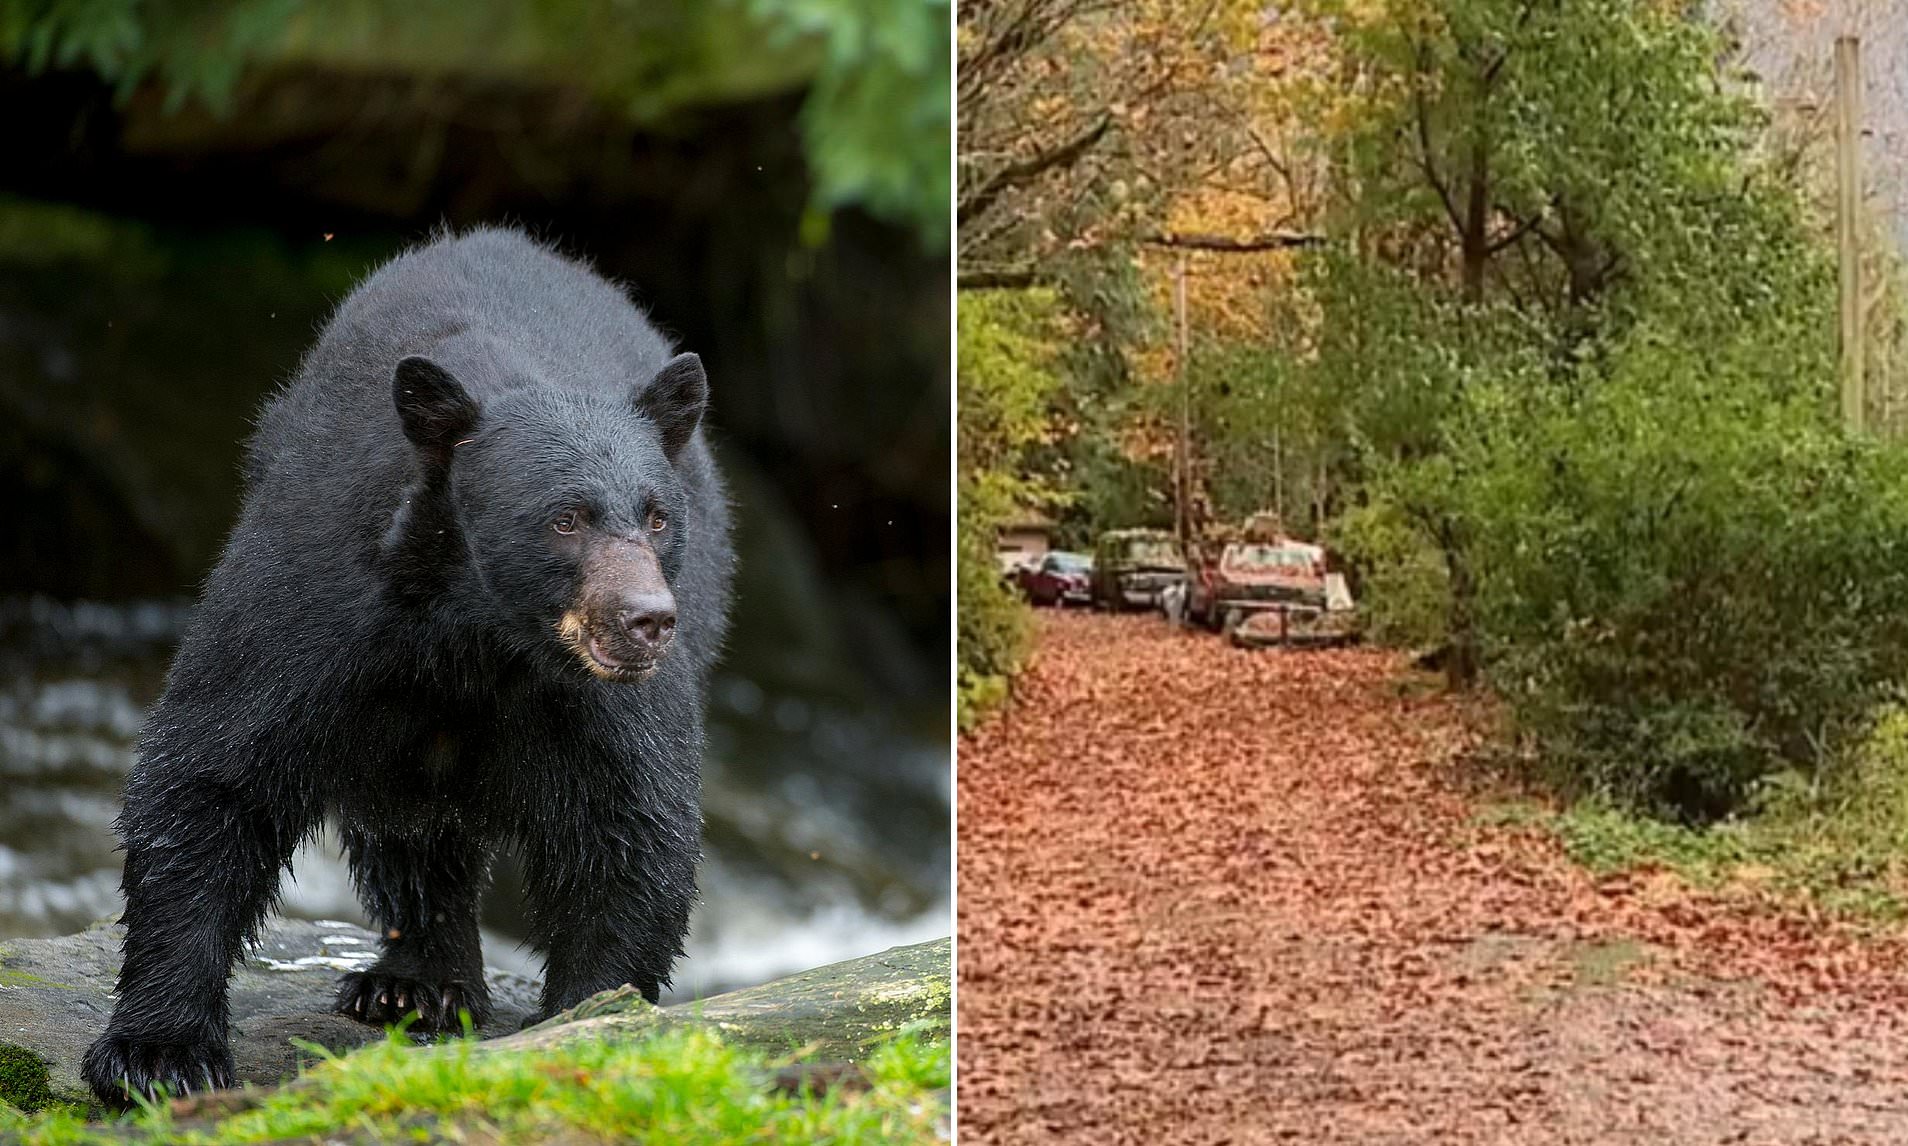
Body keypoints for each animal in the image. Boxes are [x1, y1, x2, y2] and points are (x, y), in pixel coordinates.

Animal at [80, 227, 733, 1107]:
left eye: (657, 516)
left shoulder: (598, 701)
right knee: (408, 828)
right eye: (564, 518)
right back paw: (414, 983)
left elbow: (629, 824)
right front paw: (159, 1054)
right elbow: (215, 772)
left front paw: (590, 1015)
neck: (478, 636)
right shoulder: (317, 609)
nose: (648, 621)